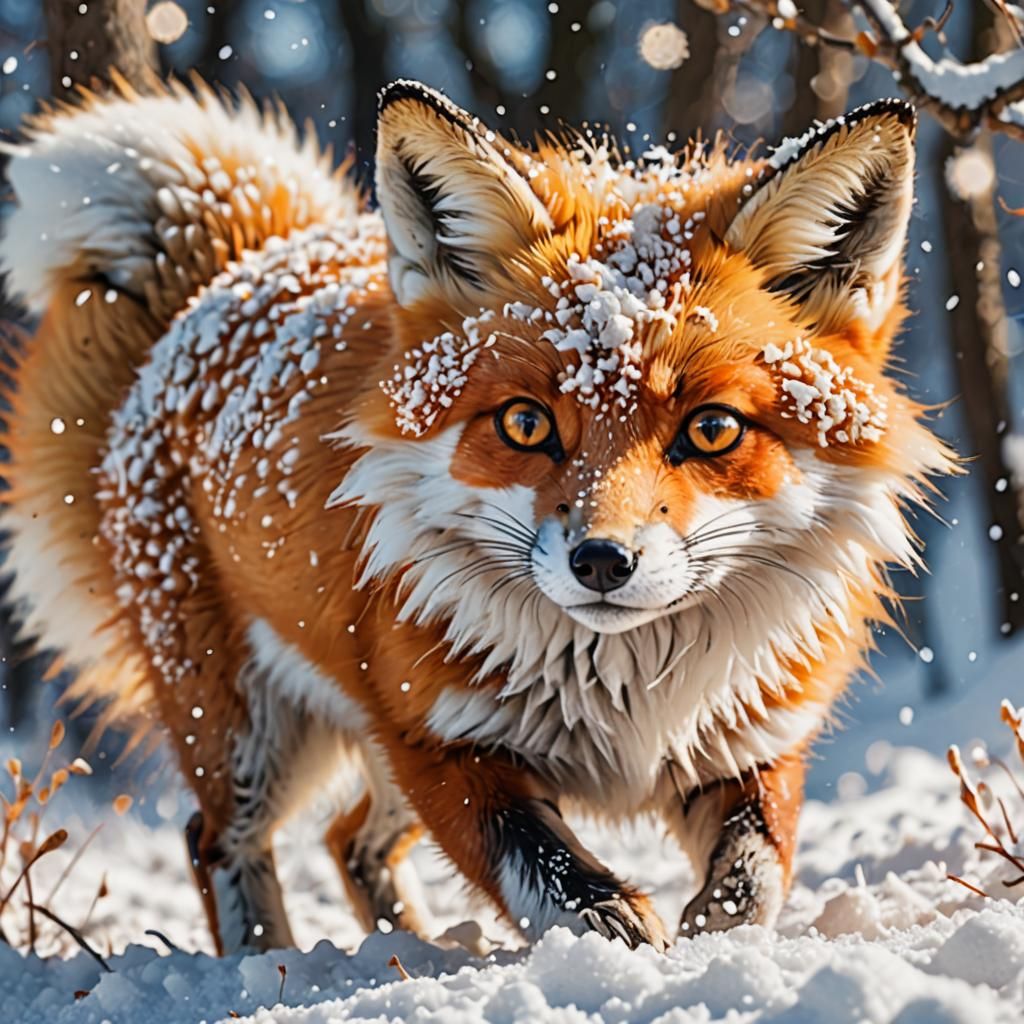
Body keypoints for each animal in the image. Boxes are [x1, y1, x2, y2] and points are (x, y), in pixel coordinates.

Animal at [0, 76, 953, 954]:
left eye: (712, 429)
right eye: (526, 424)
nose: (602, 560)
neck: (629, 694)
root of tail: (233, 271)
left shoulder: (749, 739)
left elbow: (752, 879)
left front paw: (714, 947)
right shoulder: (439, 741)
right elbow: (559, 883)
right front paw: (626, 950)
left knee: (349, 841)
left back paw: (410, 951)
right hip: (248, 729)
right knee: (218, 840)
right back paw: (264, 966)